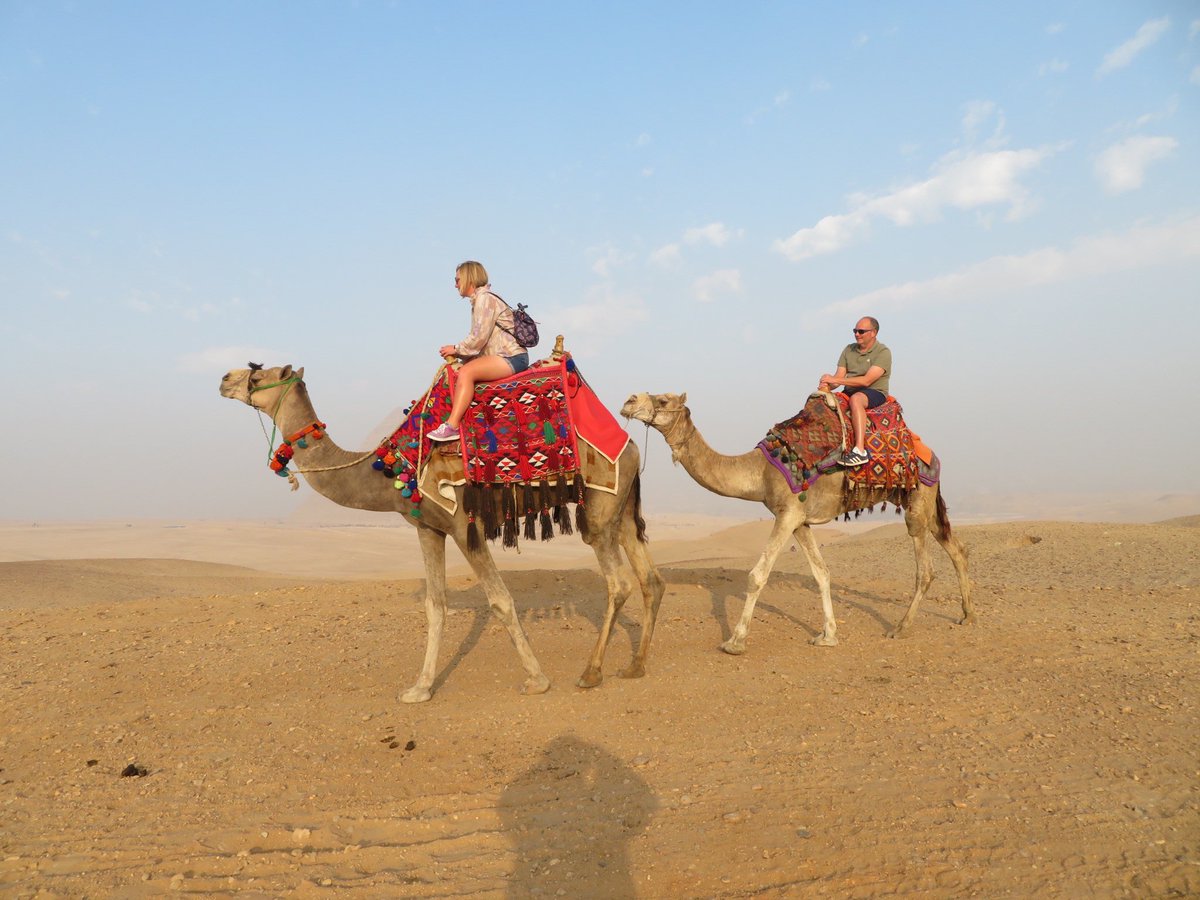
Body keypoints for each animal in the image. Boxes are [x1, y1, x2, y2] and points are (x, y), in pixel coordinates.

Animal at [220, 363, 664, 703]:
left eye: (258, 376)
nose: (225, 378)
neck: (389, 469)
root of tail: (629, 444)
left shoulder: (462, 524)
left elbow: (500, 600)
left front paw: (537, 679)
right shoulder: (427, 528)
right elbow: (435, 605)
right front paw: (419, 689)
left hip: (600, 502)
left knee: (619, 581)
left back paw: (591, 671)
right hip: (623, 507)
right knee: (650, 578)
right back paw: (636, 665)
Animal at [621, 392, 973, 653]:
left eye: (663, 399)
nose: (629, 400)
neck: (760, 471)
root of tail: (931, 454)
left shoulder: (786, 513)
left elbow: (757, 576)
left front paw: (735, 641)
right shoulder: (800, 520)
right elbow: (822, 574)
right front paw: (828, 635)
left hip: (917, 501)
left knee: (926, 569)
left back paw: (900, 628)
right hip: (925, 503)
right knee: (956, 547)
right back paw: (967, 615)